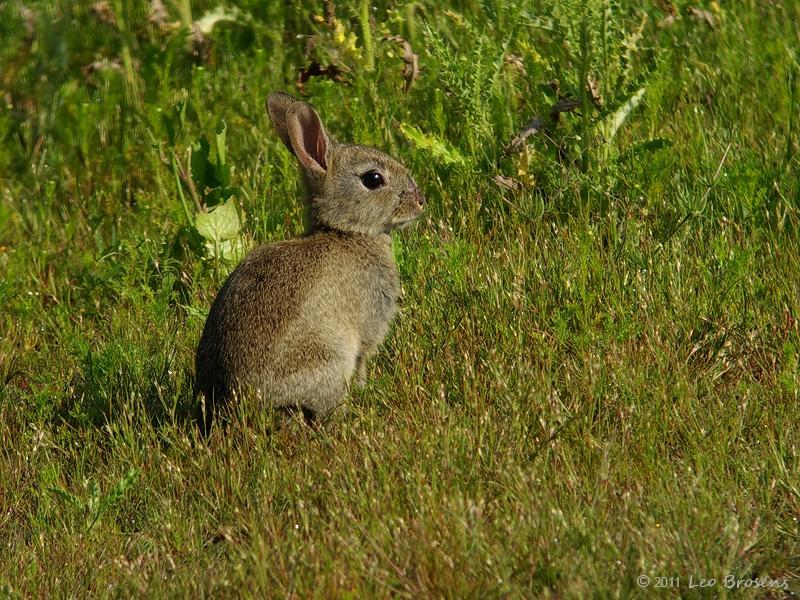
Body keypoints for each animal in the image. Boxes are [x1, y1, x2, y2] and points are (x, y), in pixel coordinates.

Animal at [195, 91, 424, 432]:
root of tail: (241, 407)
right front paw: (365, 390)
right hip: (329, 358)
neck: (346, 232)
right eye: (373, 178)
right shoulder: (369, 327)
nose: (420, 200)